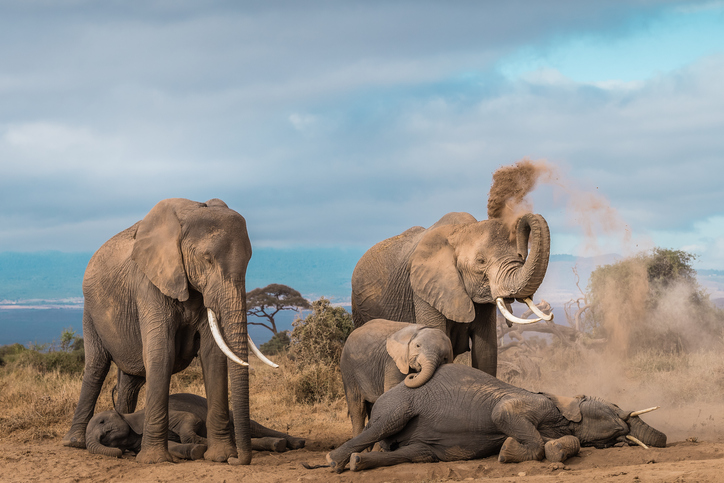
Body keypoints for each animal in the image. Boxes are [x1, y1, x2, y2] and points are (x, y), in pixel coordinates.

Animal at [63, 198, 278, 466]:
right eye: (207, 259)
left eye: (249, 260)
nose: (237, 461)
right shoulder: (149, 283)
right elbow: (161, 353)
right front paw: (154, 460)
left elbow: (213, 355)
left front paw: (220, 457)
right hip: (90, 312)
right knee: (96, 366)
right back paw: (75, 442)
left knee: (130, 381)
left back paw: (120, 418)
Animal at [85, 392, 306, 460]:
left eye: (102, 422)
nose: (122, 454)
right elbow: (173, 446)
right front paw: (196, 450)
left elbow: (190, 419)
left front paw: (203, 443)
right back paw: (277, 444)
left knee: (254, 427)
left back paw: (296, 443)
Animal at [328, 366, 668, 472]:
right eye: (614, 406)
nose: (665, 440)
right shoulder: (534, 403)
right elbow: (502, 413)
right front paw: (506, 452)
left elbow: (564, 441)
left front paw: (554, 450)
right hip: (399, 403)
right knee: (384, 424)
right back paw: (335, 461)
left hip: (422, 448)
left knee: (416, 454)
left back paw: (358, 463)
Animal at [350, 213, 548, 378]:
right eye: (481, 261)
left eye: (520, 255)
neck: (460, 231)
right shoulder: (423, 289)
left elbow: (486, 353)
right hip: (357, 307)